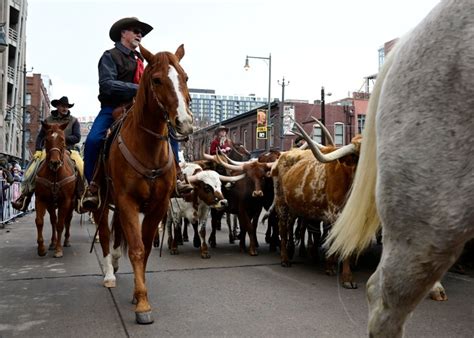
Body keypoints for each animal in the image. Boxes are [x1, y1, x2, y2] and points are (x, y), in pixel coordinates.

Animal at [34, 122, 77, 258]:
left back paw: (66, 241)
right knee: (53, 220)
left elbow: (60, 224)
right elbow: (40, 221)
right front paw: (41, 248)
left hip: (71, 203)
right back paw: (52, 243)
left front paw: (58, 250)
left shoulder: (66, 201)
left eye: (62, 140)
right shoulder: (41, 199)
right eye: (47, 140)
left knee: (67, 220)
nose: (54, 162)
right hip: (51, 204)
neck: (54, 174)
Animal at [93, 43, 193, 324]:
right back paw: (109, 273)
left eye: (185, 77)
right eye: (157, 79)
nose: (185, 122)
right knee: (105, 235)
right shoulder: (127, 201)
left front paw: (139, 295)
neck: (148, 148)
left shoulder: (157, 205)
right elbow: (136, 249)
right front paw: (142, 305)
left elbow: (145, 248)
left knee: (117, 234)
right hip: (102, 202)